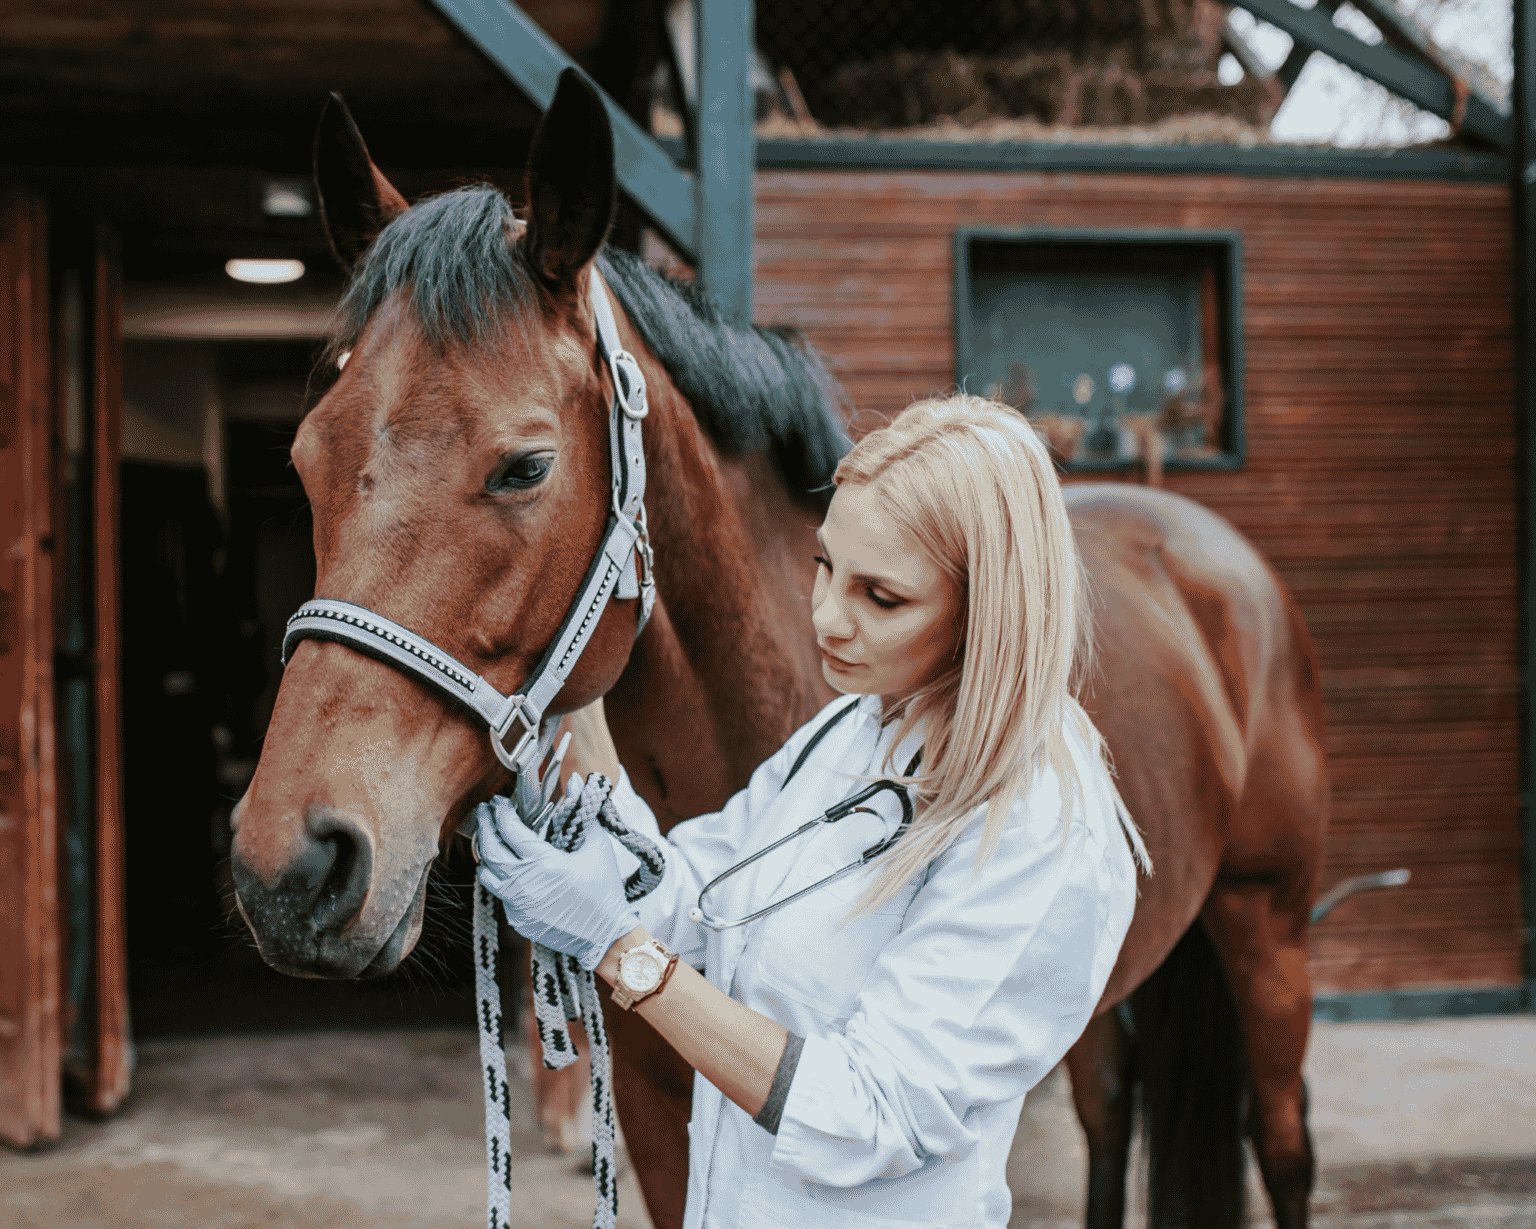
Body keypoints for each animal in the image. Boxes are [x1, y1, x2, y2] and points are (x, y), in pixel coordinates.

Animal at [229, 71, 1328, 1229]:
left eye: (526, 465)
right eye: (304, 456)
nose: (289, 866)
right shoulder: (656, 1114)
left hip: (1269, 926)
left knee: (1283, 1140)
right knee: (1114, 1109)